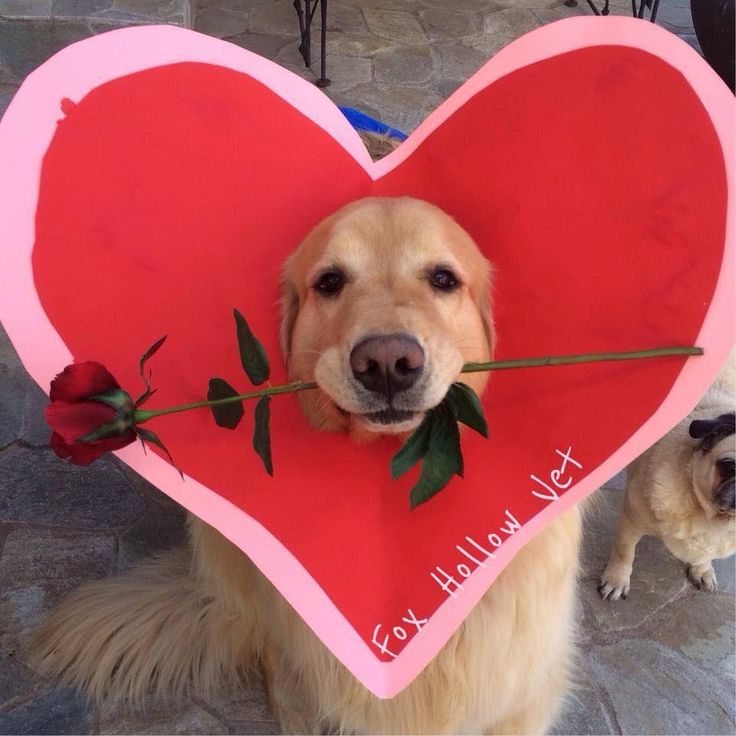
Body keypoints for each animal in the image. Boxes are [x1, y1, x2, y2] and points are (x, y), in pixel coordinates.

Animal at [600, 350, 736, 600]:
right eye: (729, 466)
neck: (711, 520)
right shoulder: (632, 518)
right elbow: (624, 551)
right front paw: (616, 580)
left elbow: (705, 557)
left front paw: (702, 570)